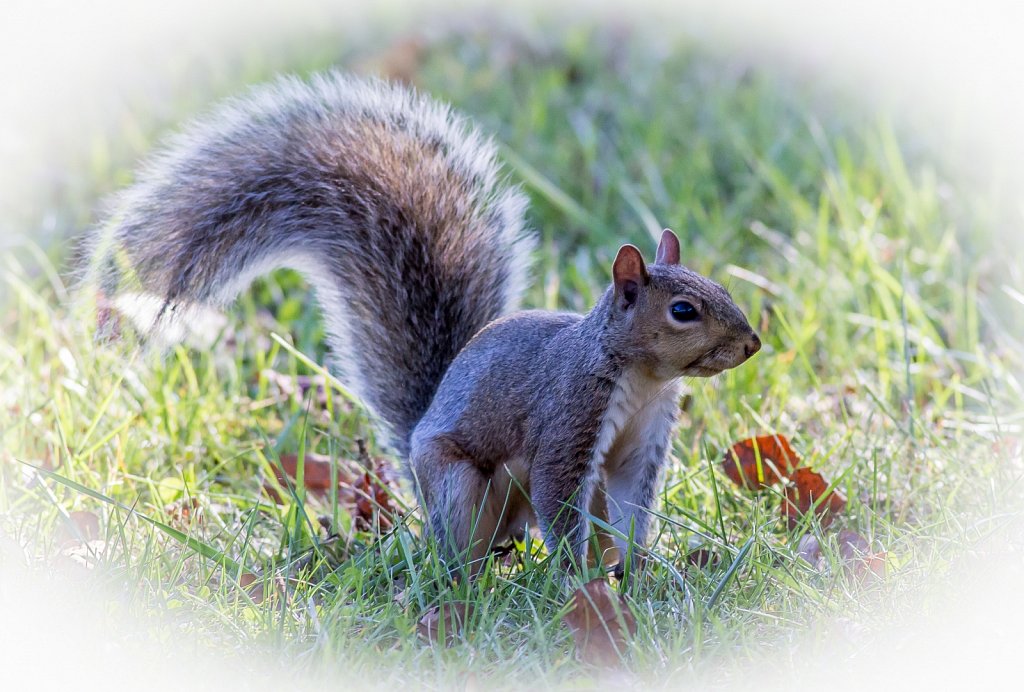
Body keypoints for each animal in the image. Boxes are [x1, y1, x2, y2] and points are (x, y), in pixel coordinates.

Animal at [86, 72, 761, 577]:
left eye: (723, 288)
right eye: (683, 311)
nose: (752, 344)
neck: (642, 379)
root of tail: (416, 437)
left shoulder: (642, 442)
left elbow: (628, 509)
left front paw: (641, 572)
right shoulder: (568, 417)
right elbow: (561, 501)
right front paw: (583, 583)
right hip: (459, 485)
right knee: (460, 549)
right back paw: (468, 584)